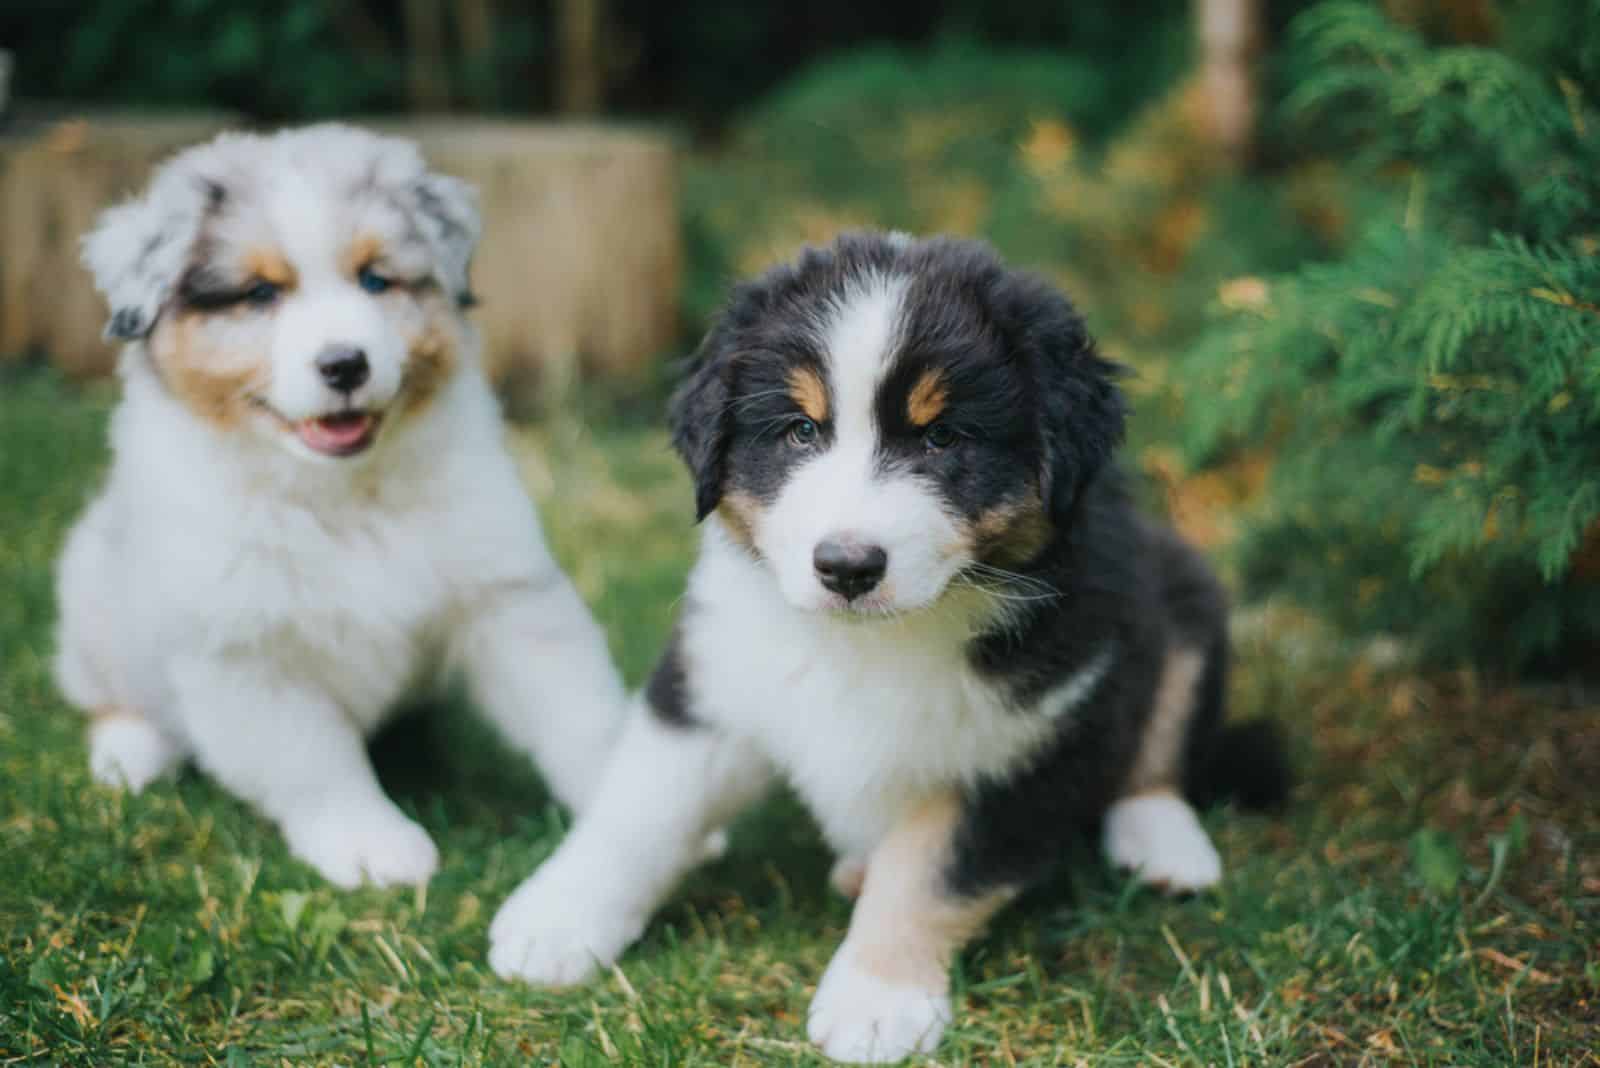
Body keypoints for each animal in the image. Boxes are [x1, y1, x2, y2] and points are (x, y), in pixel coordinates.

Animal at [486, 231, 1286, 1061]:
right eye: (802, 431)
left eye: (943, 436)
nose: (847, 567)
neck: (872, 641)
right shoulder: (716, 678)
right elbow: (641, 807)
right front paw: (559, 920)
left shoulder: (1027, 746)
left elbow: (929, 874)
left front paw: (876, 1001)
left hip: (1184, 592)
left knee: (1157, 748)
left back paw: (1165, 847)